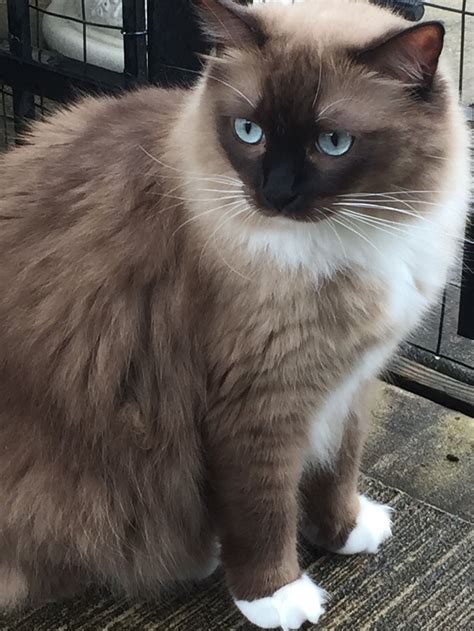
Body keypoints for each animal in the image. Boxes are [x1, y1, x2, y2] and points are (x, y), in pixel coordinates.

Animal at [0, 0, 468, 628]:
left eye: (334, 142)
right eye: (249, 132)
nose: (276, 194)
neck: (350, 240)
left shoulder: (352, 380)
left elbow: (338, 467)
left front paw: (344, 533)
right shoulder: (260, 403)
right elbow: (264, 513)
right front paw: (277, 597)